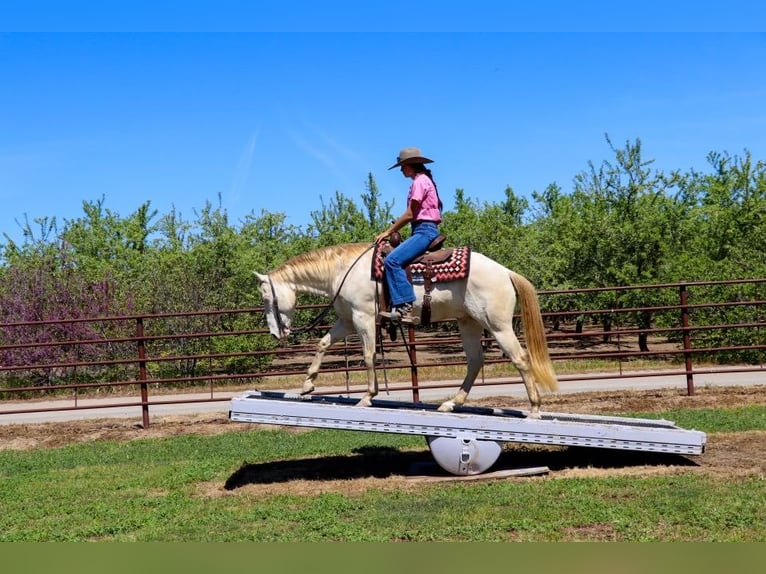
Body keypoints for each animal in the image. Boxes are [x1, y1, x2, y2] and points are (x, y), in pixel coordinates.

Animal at [255, 243, 560, 418]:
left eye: (266, 298)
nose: (274, 334)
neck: (343, 270)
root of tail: (506, 272)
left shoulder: (364, 317)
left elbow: (368, 356)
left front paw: (367, 397)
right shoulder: (347, 320)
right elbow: (323, 344)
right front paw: (307, 384)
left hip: (498, 325)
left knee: (520, 359)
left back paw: (534, 409)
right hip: (469, 322)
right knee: (475, 361)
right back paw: (451, 404)